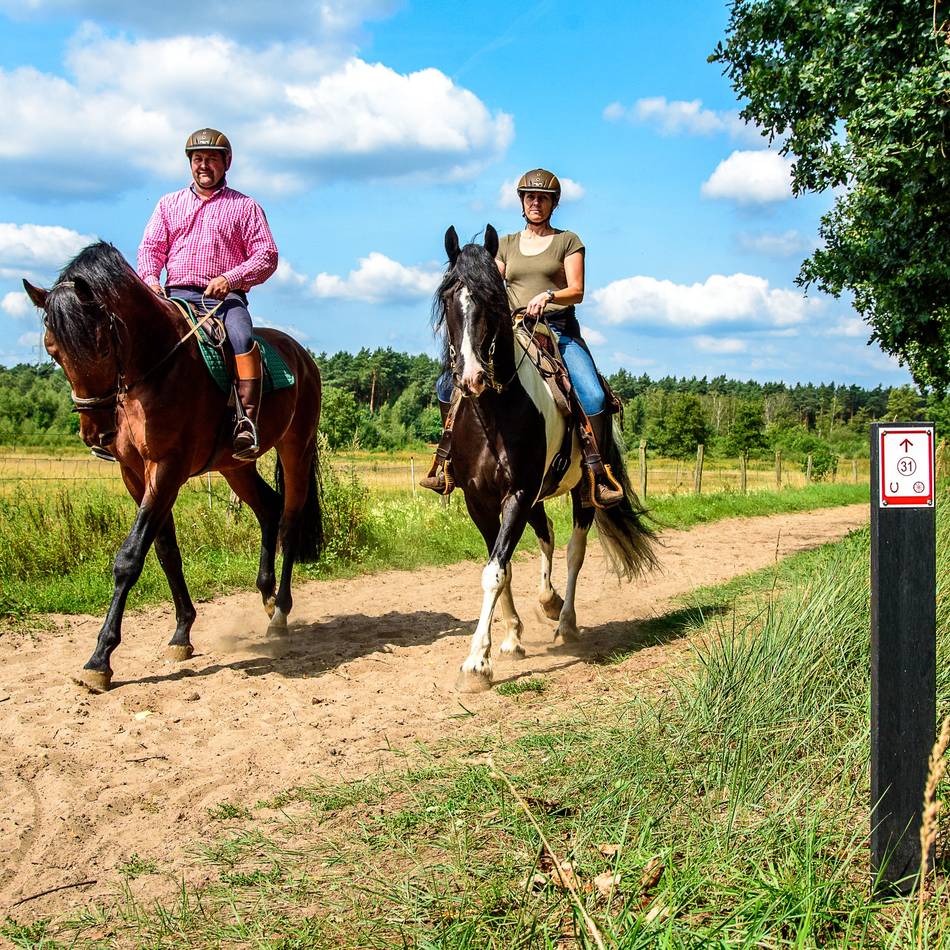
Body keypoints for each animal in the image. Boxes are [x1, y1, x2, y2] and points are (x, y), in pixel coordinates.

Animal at [23, 241, 323, 692]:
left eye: (102, 347)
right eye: (54, 351)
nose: (95, 433)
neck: (155, 368)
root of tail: (303, 358)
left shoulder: (167, 469)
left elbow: (130, 558)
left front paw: (100, 659)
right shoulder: (135, 474)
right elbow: (166, 551)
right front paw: (182, 633)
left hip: (296, 450)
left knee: (289, 521)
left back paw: (281, 614)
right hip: (234, 466)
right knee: (269, 509)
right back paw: (267, 597)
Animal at [435, 225, 658, 692]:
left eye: (493, 299)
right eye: (448, 298)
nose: (471, 377)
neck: (494, 413)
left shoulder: (518, 493)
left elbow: (495, 571)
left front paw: (476, 665)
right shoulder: (480, 500)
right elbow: (499, 566)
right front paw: (510, 639)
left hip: (584, 492)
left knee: (574, 548)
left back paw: (566, 621)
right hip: (536, 498)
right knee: (548, 536)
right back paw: (546, 604)